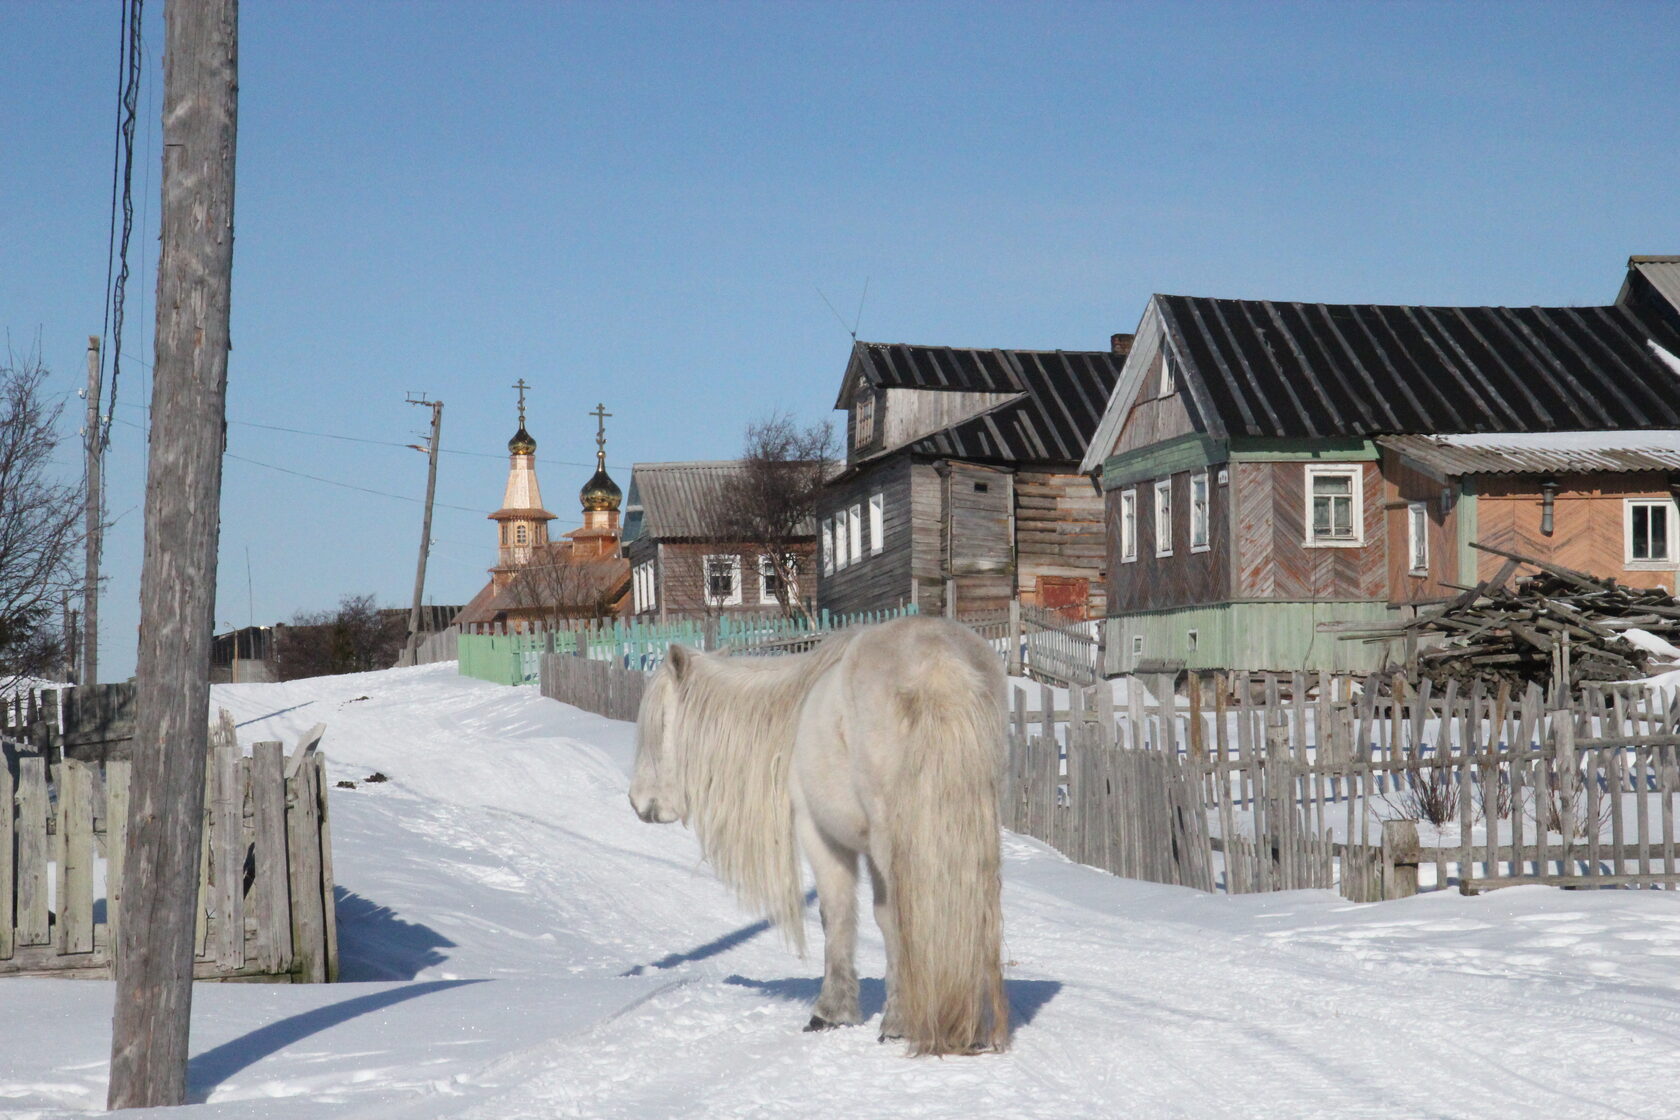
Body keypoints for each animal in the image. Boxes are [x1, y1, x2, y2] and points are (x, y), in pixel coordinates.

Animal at [624, 617, 1001, 1054]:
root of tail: (936, 662)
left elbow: (838, 915)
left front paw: (833, 1012)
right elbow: (881, 919)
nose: (637, 801)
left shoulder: (820, 834)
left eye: (658, 726)